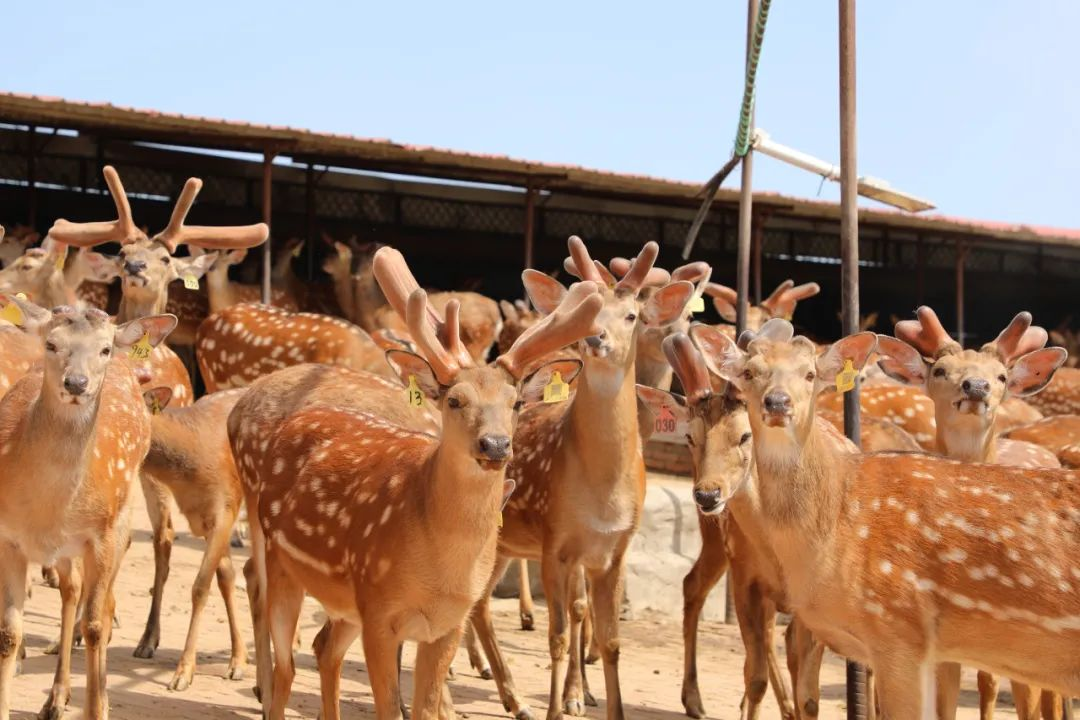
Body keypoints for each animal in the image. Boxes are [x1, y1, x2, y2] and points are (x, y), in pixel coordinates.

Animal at [0, 296, 176, 720]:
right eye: (51, 344)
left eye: (104, 349)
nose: (76, 383)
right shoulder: (8, 537)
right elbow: (9, 633)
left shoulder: (102, 534)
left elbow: (95, 625)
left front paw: (98, 707)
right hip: (66, 548)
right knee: (70, 590)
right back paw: (56, 697)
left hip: (122, 515)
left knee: (103, 607)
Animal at [229, 246, 601, 720]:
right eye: (454, 400)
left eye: (517, 403)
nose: (495, 444)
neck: (439, 572)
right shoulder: (378, 610)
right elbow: (390, 707)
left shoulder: (446, 625)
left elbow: (425, 708)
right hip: (282, 564)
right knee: (285, 665)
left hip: (343, 603)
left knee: (324, 648)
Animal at [467, 236, 695, 720]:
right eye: (586, 311)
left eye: (632, 315)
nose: (596, 338)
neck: (603, 491)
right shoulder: (557, 542)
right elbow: (558, 632)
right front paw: (564, 703)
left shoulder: (614, 550)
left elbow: (610, 640)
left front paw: (597, 700)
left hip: (501, 543)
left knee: (477, 603)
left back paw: (512, 696)